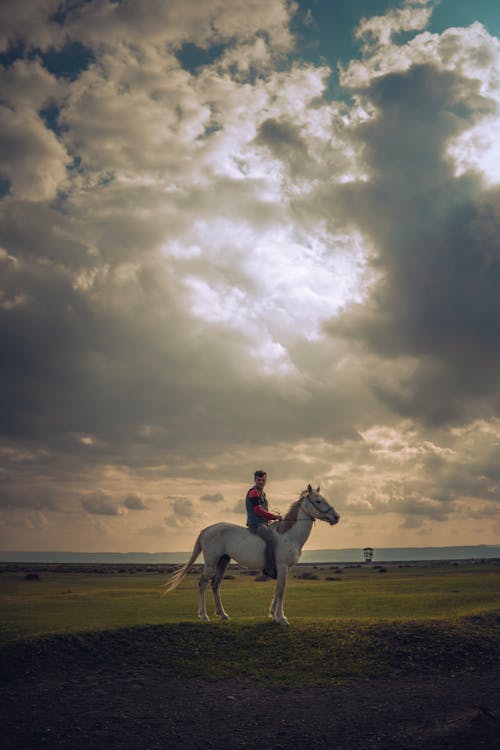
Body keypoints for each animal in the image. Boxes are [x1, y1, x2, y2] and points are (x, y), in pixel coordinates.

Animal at [164, 484, 340, 624]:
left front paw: (274, 615)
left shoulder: (287, 568)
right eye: (318, 501)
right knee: (202, 584)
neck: (289, 534)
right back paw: (204, 616)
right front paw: (282, 618)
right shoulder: (282, 566)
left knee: (215, 585)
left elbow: (277, 590)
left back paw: (223, 615)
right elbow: (281, 590)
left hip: (223, 562)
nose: (336, 517)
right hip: (211, 562)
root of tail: (207, 529)